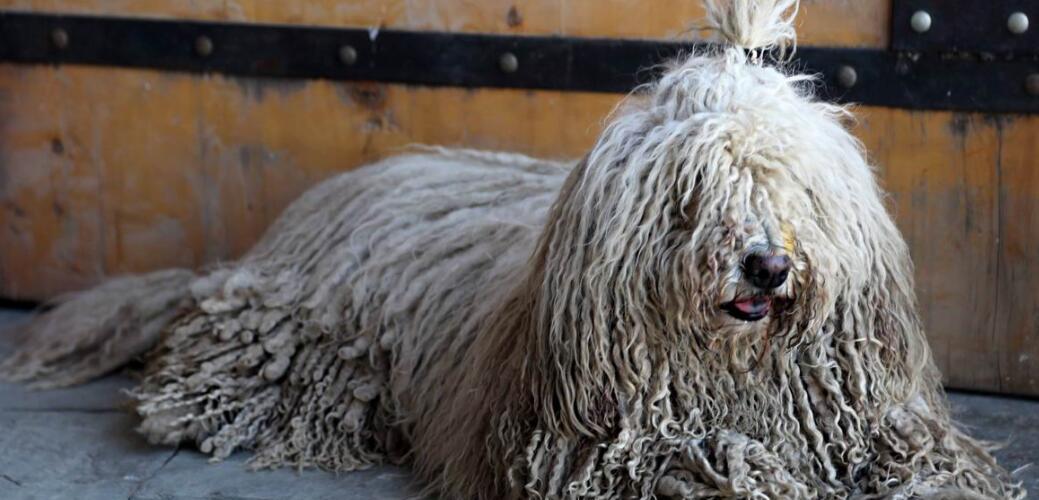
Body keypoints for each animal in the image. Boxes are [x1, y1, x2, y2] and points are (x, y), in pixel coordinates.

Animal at [0, 0, 1022, 498]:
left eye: (794, 188)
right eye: (694, 193)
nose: (766, 265)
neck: (728, 368)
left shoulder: (874, 409)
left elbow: (919, 452)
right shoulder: (584, 444)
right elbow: (691, 459)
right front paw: (750, 474)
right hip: (297, 342)